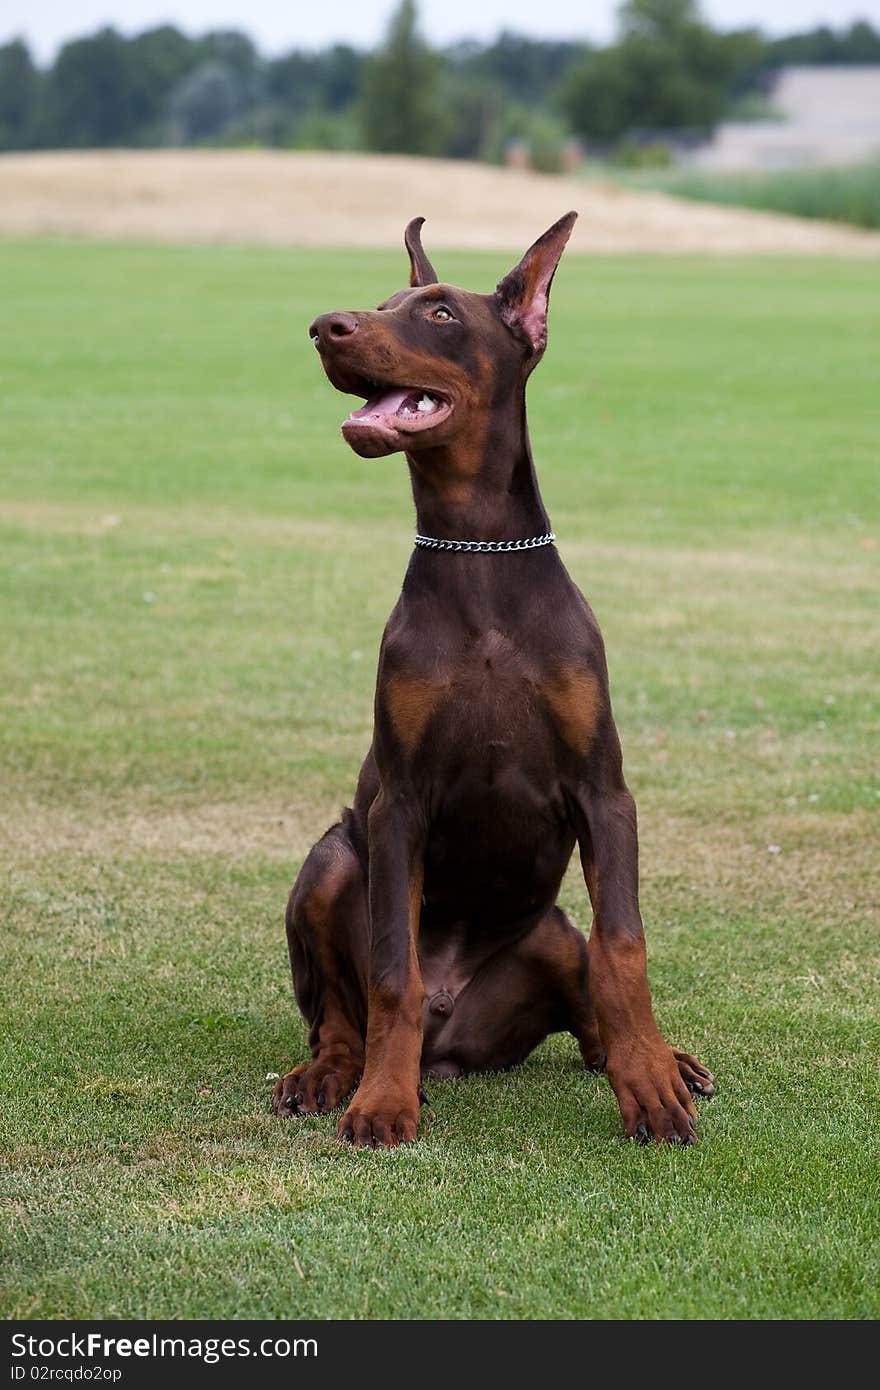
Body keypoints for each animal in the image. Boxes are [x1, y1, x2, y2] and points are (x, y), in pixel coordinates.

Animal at [275, 214, 711, 1150]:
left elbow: (625, 951)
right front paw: (382, 1102)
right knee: (340, 1014)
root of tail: (452, 1041)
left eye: (439, 313)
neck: (478, 554)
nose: (326, 325)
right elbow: (390, 974)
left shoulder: (604, 792)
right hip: (332, 860)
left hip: (553, 934)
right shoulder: (397, 802)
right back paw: (332, 1074)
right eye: (382, 301)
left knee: (590, 1009)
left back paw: (665, 1059)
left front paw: (652, 1087)